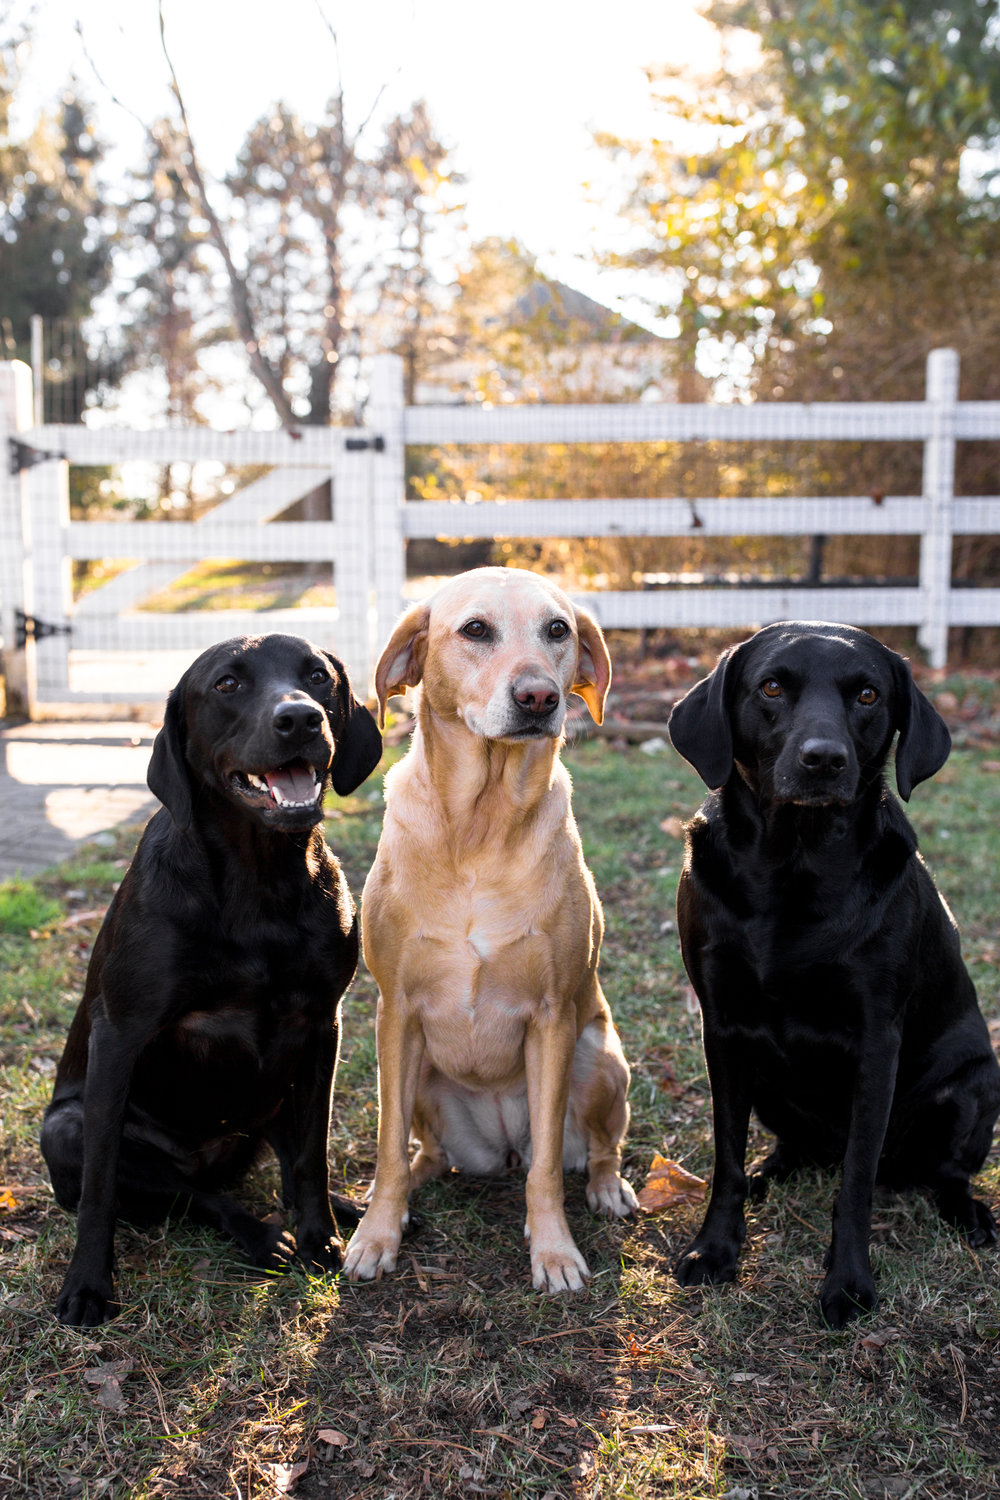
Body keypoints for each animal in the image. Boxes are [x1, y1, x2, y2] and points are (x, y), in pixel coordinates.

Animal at [41, 633, 383, 1326]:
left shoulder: (321, 1026)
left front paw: (322, 1238)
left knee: (282, 1166)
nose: (301, 718)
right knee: (192, 1196)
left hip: (275, 1095)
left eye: (317, 676)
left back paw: (339, 1211)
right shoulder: (121, 1033)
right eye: (228, 684)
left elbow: (311, 1155)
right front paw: (87, 1283)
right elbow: (99, 1188)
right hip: (66, 1128)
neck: (259, 884)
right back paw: (260, 1234)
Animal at [665, 618, 1000, 1326]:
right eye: (770, 688)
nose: (824, 759)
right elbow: (726, 1157)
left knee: (941, 1172)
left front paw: (847, 1284)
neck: (793, 865)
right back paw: (768, 1175)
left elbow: (855, 1183)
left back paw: (969, 1214)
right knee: (790, 1150)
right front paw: (715, 1250)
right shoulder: (723, 1029)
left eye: (868, 695)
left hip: (975, 1085)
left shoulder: (877, 1043)